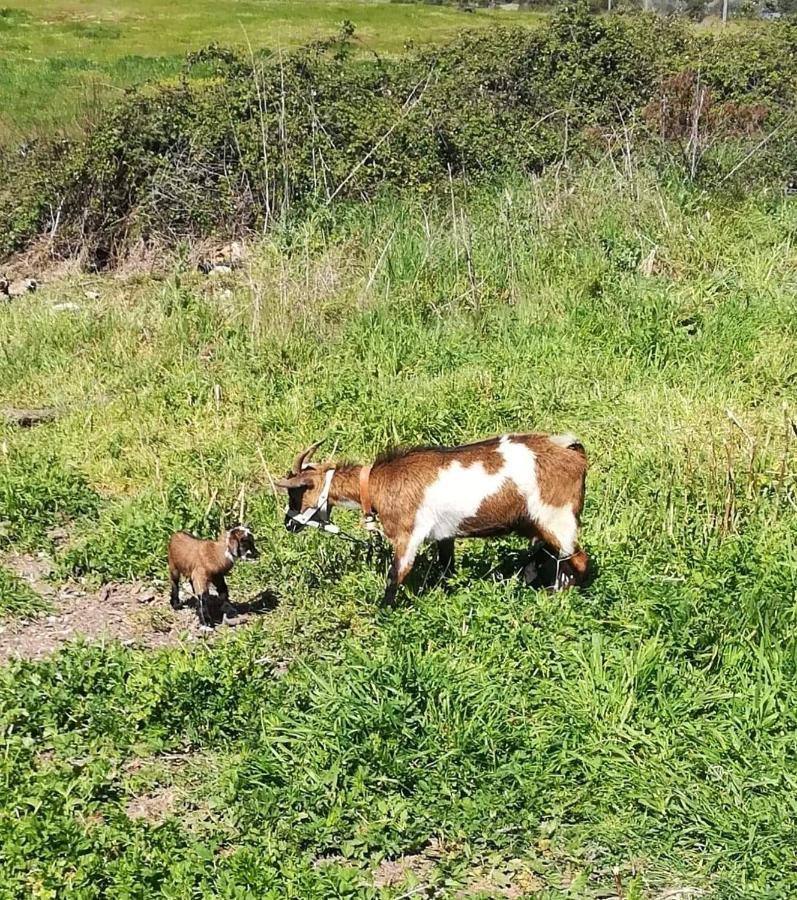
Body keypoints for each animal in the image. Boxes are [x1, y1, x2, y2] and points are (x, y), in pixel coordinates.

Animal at [276, 434, 588, 604]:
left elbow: (395, 574)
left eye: (295, 493)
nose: (288, 525)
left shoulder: (408, 532)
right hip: (537, 521)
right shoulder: (445, 533)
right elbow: (446, 565)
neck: (375, 484)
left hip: (556, 516)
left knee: (578, 559)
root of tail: (573, 452)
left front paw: (382, 612)